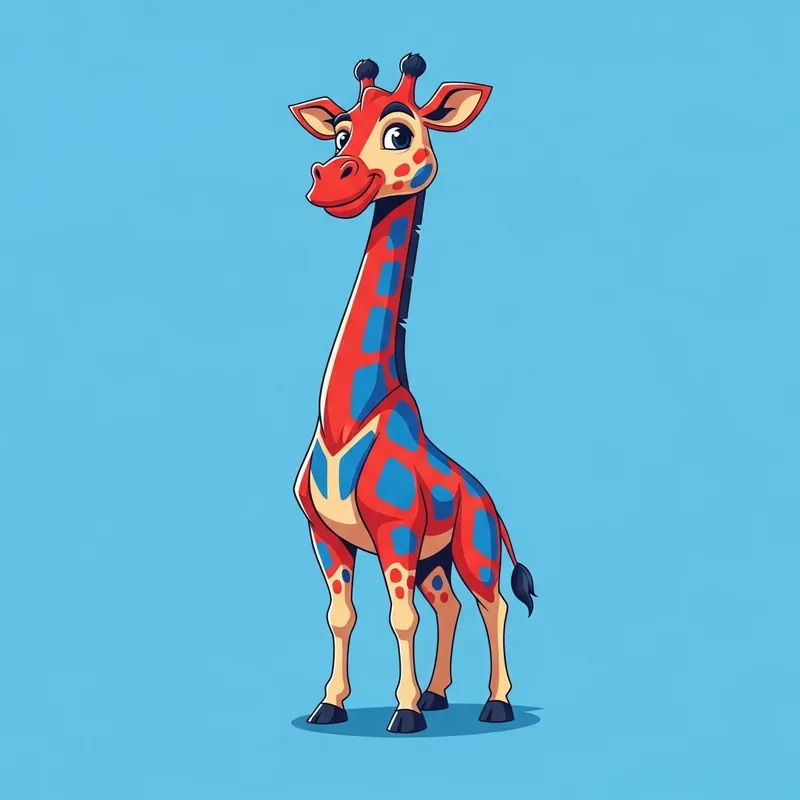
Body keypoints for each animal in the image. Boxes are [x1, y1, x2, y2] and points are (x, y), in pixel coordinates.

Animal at [290, 54, 536, 735]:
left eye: (400, 132)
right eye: (340, 133)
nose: (329, 180)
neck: (346, 419)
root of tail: (491, 500)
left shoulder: (395, 529)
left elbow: (401, 619)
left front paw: (401, 714)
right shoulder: (327, 537)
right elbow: (341, 616)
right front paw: (330, 704)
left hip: (474, 547)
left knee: (493, 604)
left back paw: (494, 703)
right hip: (434, 562)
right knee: (448, 604)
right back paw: (437, 693)